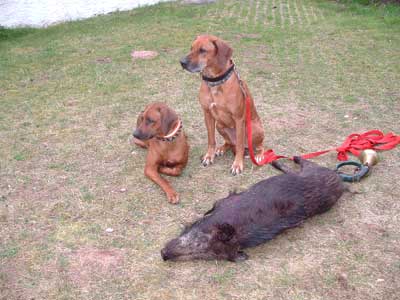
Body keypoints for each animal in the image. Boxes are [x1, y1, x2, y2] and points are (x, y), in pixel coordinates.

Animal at [180, 34, 264, 176]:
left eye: (202, 50)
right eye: (191, 48)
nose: (182, 62)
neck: (215, 81)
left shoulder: (239, 118)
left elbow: (240, 147)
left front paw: (237, 164)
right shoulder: (207, 114)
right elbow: (211, 140)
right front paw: (209, 156)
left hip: (253, 128)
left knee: (256, 146)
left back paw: (259, 155)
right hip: (220, 124)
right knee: (230, 143)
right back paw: (222, 148)